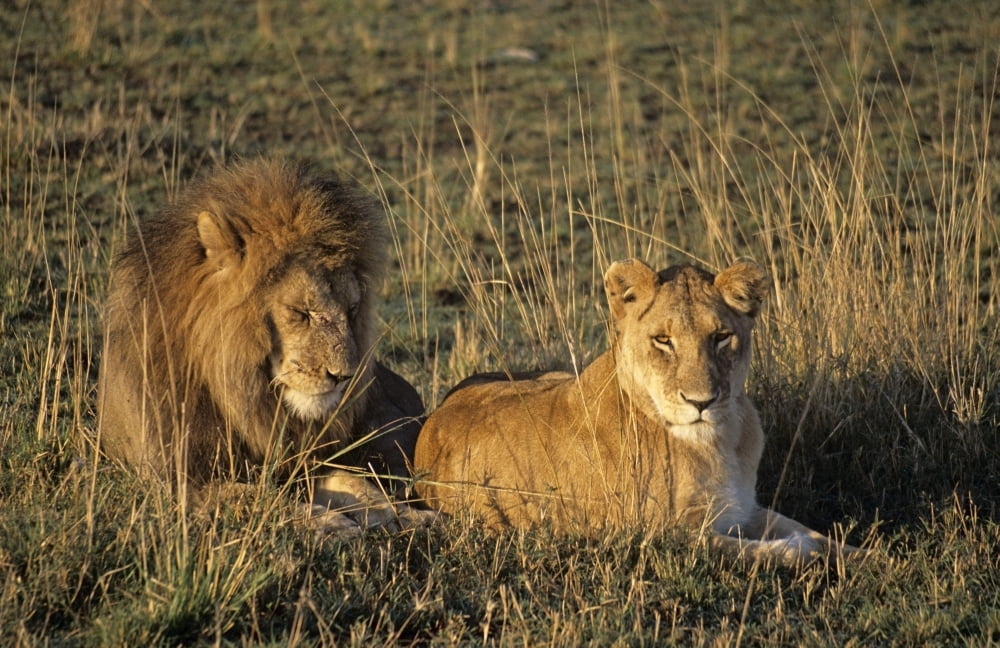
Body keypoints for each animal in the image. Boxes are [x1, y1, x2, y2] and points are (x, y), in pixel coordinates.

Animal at [98, 157, 430, 531]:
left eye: (352, 310)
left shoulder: (306, 461)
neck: (244, 398)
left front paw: (406, 515)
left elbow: (355, 482)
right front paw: (331, 524)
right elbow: (261, 497)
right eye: (301, 312)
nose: (344, 377)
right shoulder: (178, 481)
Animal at [415, 259, 863, 564]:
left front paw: (865, 557)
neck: (716, 444)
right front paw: (801, 551)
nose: (701, 402)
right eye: (663, 340)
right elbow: (765, 550)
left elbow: (814, 533)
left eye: (721, 337)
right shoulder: (656, 535)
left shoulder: (744, 507)